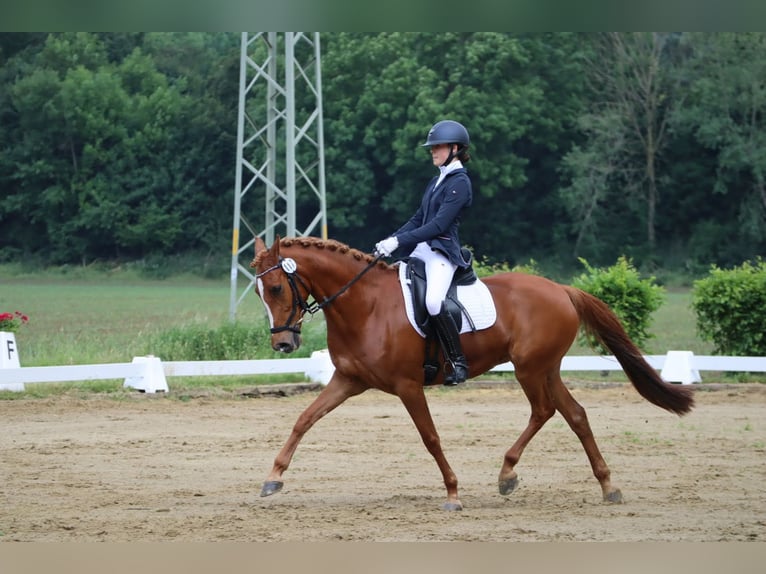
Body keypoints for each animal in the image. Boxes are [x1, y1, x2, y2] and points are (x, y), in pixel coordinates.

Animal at [252, 236, 696, 510]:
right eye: (259, 292)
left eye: (275, 288)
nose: (283, 345)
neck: (366, 304)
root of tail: (562, 289)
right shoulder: (348, 381)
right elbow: (303, 419)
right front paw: (273, 478)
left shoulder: (408, 386)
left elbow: (431, 439)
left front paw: (453, 493)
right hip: (546, 368)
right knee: (574, 415)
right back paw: (606, 486)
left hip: (529, 368)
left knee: (545, 411)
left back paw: (509, 474)